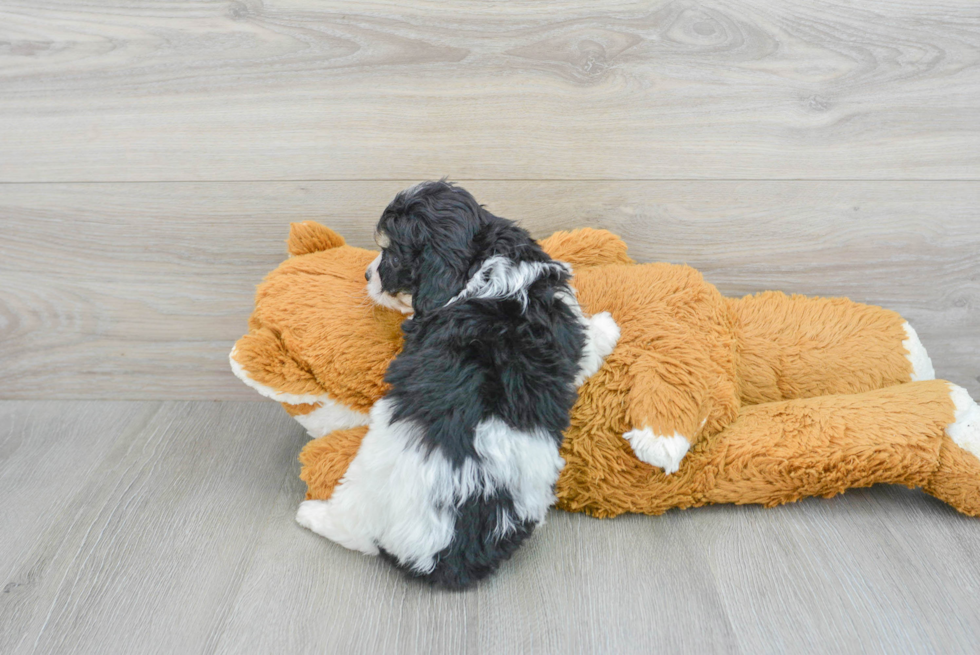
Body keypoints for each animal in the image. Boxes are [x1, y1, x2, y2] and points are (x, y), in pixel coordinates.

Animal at [298, 181, 620, 588]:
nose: (367, 276)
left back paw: (312, 514)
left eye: (391, 255)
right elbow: (589, 340)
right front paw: (609, 325)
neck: (479, 264)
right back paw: (311, 512)